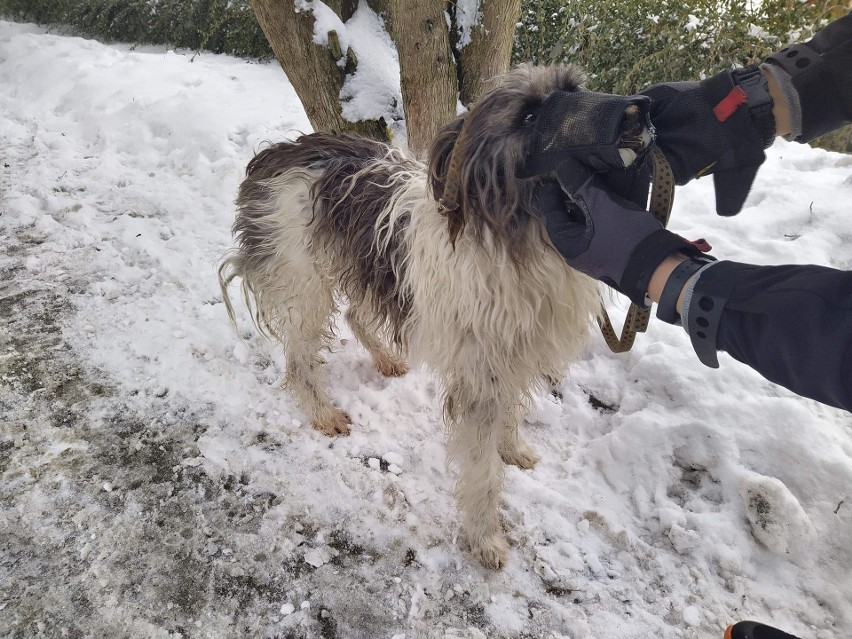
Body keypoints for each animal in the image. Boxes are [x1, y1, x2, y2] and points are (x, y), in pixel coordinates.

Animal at [220, 65, 652, 568]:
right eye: (528, 115)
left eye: (575, 90)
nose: (637, 113)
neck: (519, 234)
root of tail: (276, 153)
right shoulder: (481, 373)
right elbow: (481, 470)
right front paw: (486, 538)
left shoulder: (515, 352)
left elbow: (510, 415)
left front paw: (513, 448)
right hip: (302, 283)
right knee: (298, 361)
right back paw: (322, 412)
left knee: (356, 318)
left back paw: (387, 359)